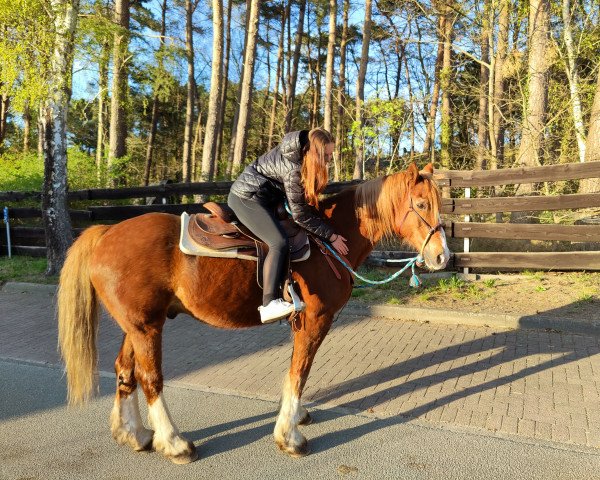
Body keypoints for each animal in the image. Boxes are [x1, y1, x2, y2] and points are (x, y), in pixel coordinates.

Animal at [57, 163, 450, 464]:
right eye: (420, 203)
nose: (442, 256)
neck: (327, 242)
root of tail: (106, 231)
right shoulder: (315, 321)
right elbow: (299, 372)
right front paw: (289, 437)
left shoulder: (302, 323)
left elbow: (295, 370)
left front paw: (296, 417)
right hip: (146, 327)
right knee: (150, 379)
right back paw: (174, 443)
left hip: (136, 325)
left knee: (125, 372)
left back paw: (135, 434)